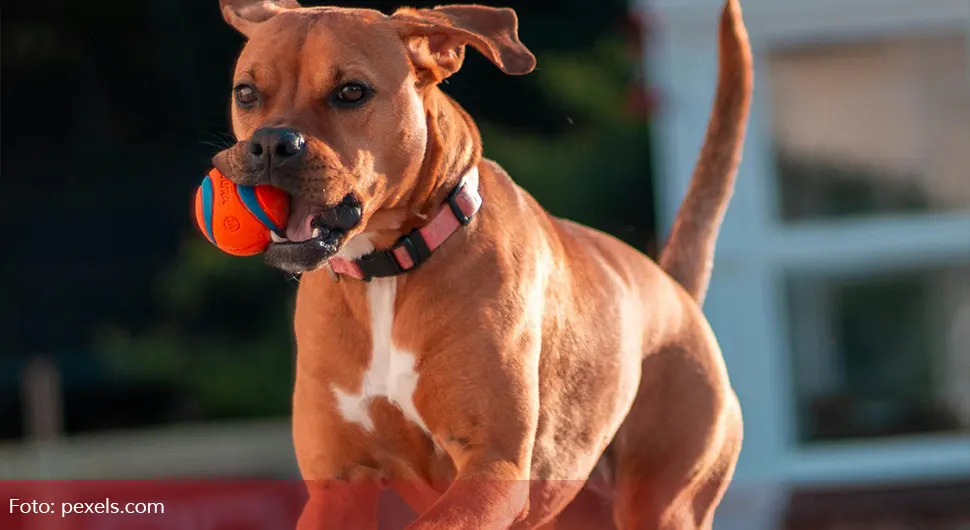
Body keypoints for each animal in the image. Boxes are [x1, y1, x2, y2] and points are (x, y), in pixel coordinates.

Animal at [212, 2, 752, 524]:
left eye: (351, 91)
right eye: (246, 93)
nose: (271, 143)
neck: (387, 272)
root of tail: (674, 291)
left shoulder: (493, 468)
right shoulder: (338, 486)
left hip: (665, 501)